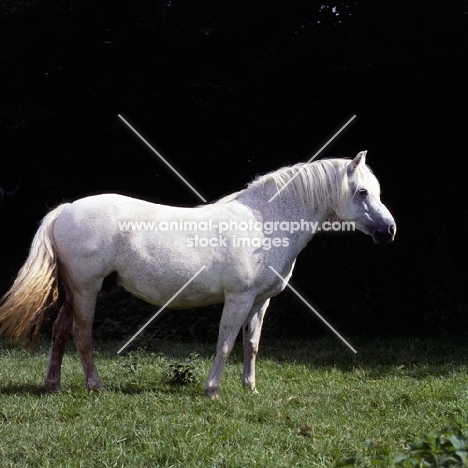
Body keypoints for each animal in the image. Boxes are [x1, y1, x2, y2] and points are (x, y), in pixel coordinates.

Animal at [0, 152, 394, 396]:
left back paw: (53, 385)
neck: (263, 221)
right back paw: (95, 386)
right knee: (81, 335)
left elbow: (251, 344)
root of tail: (65, 209)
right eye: (362, 191)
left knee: (59, 332)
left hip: (71, 292)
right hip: (86, 290)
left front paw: (250, 387)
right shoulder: (238, 299)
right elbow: (225, 342)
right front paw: (213, 390)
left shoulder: (259, 303)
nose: (389, 230)